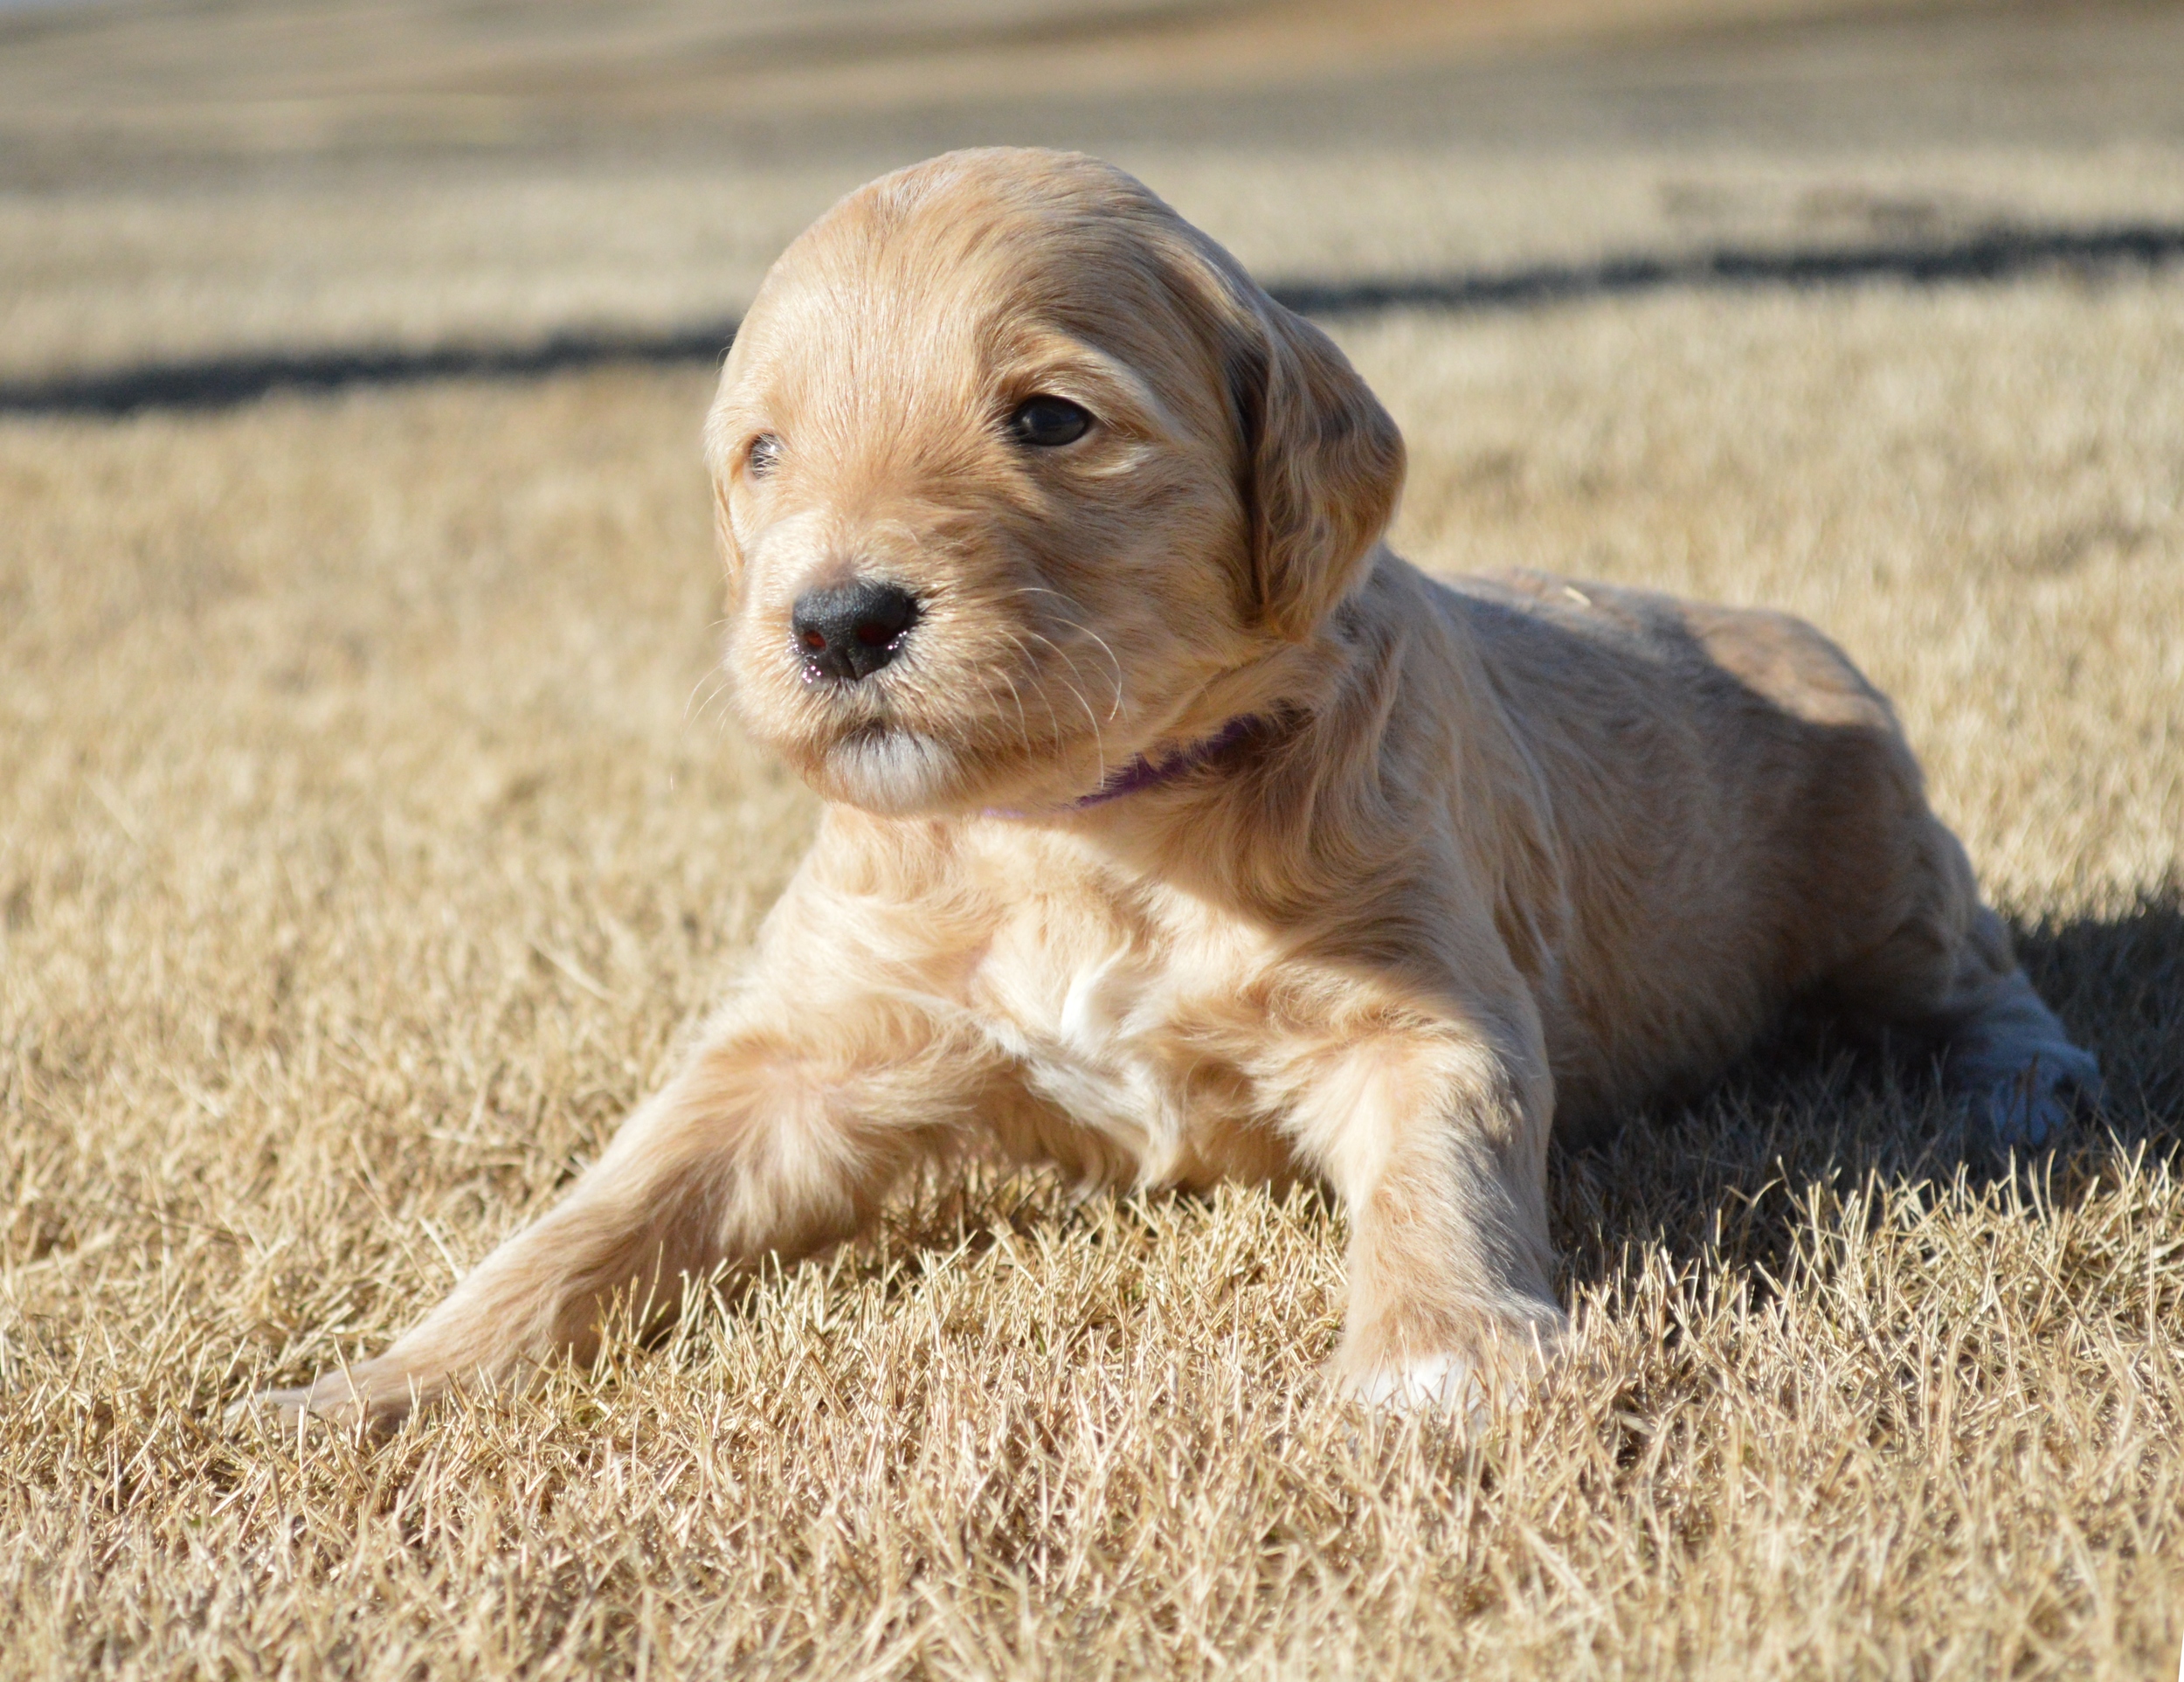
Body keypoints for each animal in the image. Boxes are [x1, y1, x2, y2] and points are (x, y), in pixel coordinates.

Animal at [251, 150, 2097, 1424]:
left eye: (1050, 420)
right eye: (762, 455)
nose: (834, 620)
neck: (1083, 831)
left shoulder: (1418, 1001)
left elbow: (1441, 1165)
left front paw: (1434, 1356)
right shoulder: (799, 1058)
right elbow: (597, 1214)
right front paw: (373, 1386)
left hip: (1881, 854)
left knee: (1979, 978)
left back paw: (2022, 1086)